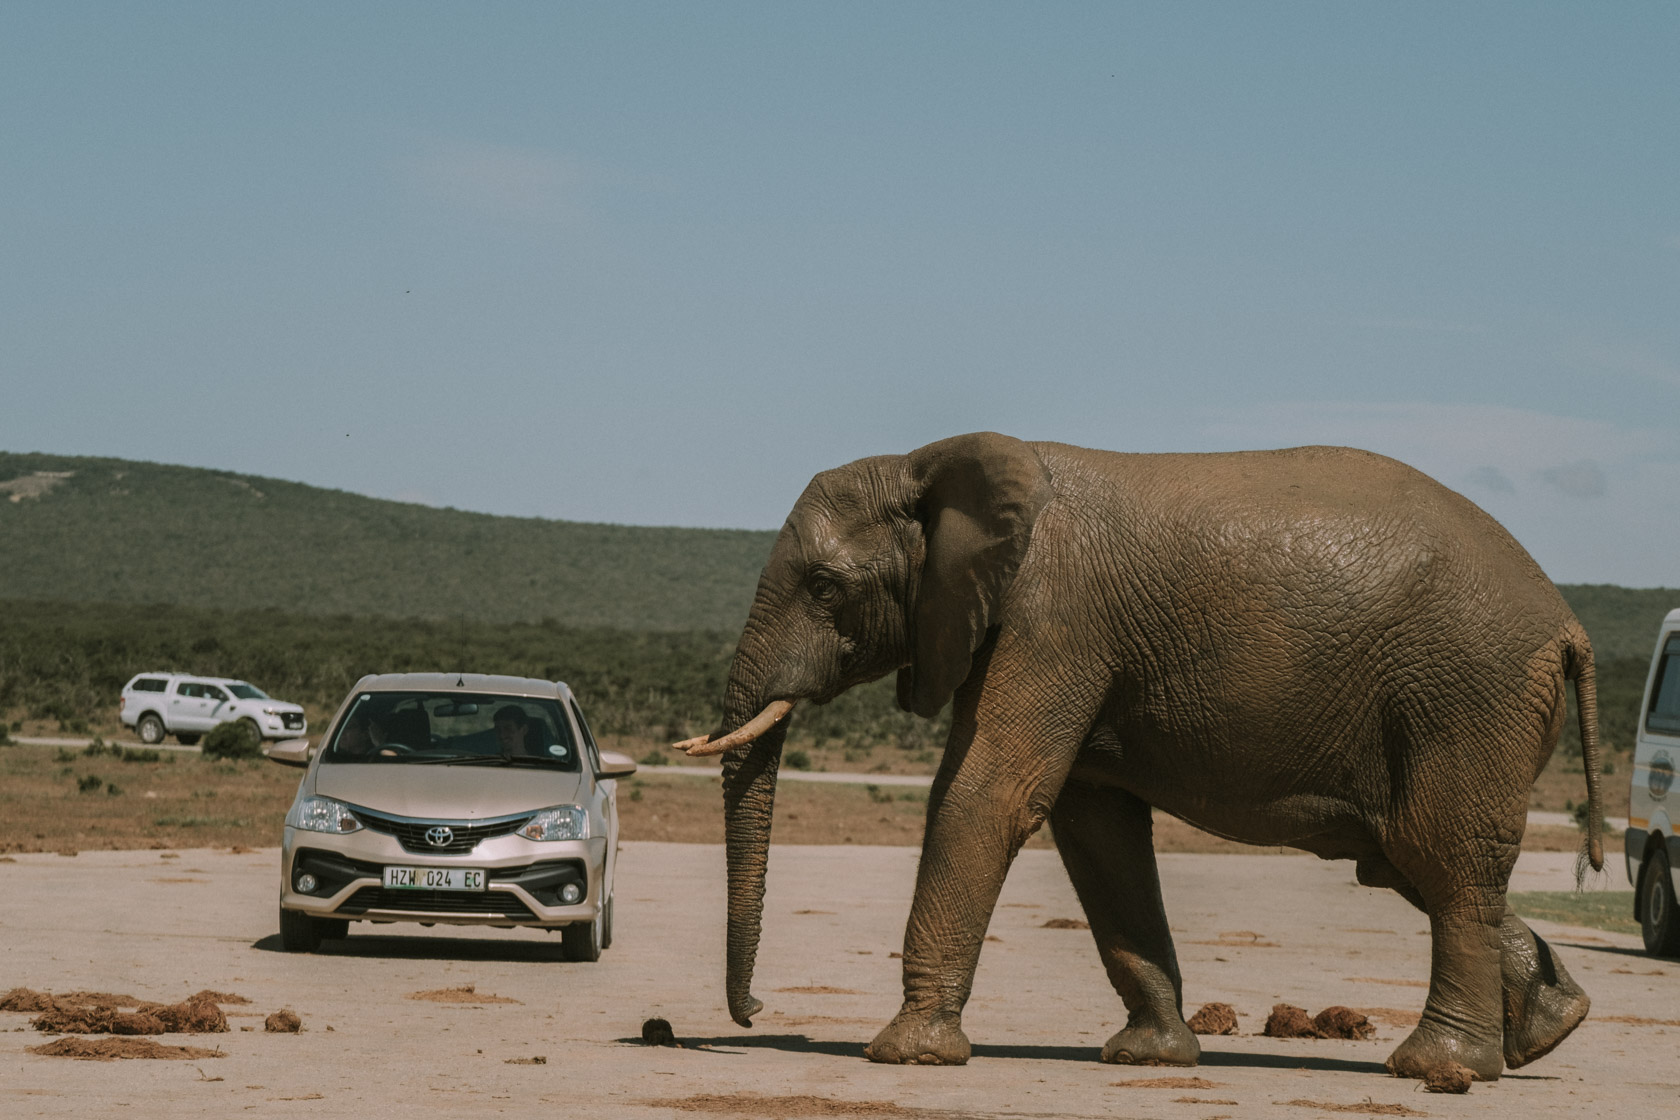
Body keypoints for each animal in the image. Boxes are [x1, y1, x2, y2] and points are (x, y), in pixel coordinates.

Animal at [668, 433, 1599, 1081]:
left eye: (825, 587)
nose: (752, 1015)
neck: (930, 460)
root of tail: (1569, 626)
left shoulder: (1049, 620)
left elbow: (987, 796)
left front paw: (906, 1056)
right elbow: (1097, 831)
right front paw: (1149, 1058)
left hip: (1465, 696)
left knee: (1440, 858)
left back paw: (1438, 1070)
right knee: (1408, 862)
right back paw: (1554, 1028)